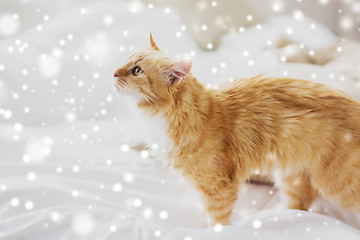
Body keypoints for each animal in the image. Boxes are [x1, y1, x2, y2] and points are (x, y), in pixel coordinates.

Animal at [114, 34, 360, 226]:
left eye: (137, 71)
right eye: (125, 60)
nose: (114, 73)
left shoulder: (219, 186)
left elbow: (218, 220)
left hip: (338, 185)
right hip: (291, 174)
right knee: (299, 205)